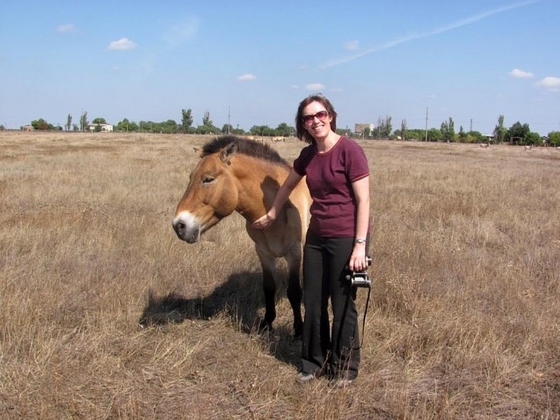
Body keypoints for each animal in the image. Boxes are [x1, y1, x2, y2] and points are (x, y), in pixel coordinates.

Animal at [172, 135, 310, 338]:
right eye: (190, 177)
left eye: (208, 179)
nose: (179, 226)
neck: (277, 206)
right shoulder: (264, 253)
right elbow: (268, 287)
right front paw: (266, 323)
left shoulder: (294, 253)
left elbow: (294, 292)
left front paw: (299, 329)